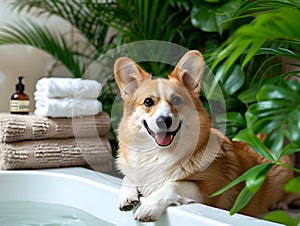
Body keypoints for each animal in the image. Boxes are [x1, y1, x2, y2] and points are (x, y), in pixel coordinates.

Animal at [113, 50, 294, 222]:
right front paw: (127, 196)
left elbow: (173, 184)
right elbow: (128, 176)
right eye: (148, 102)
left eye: (176, 100)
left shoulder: (208, 191)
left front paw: (149, 207)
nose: (164, 120)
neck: (159, 154)